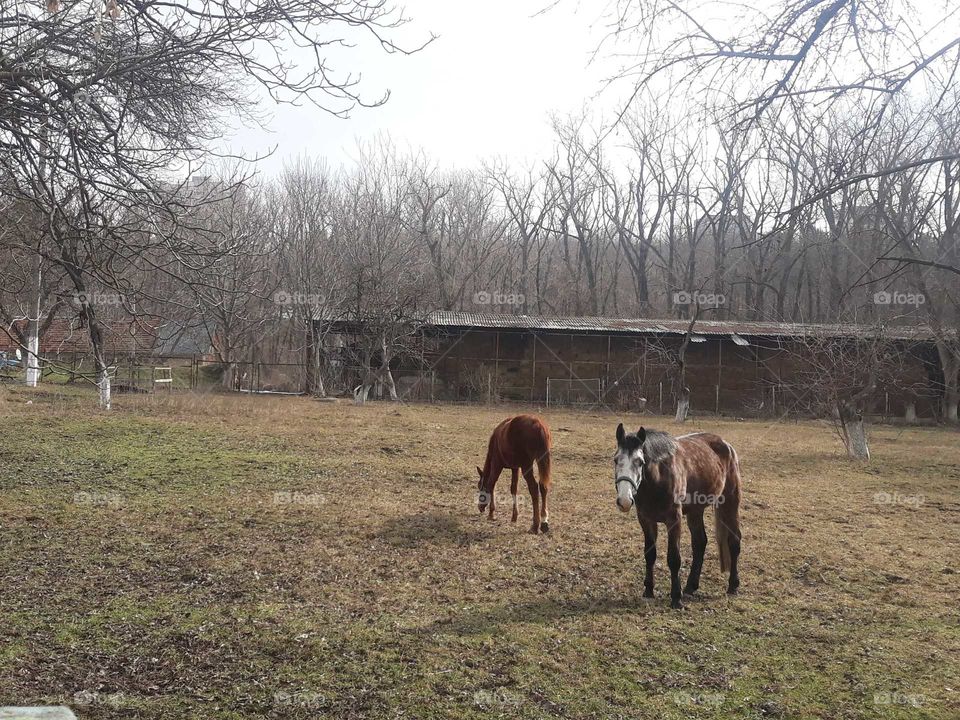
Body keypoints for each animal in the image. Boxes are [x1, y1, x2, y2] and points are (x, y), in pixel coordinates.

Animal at [613, 423, 742, 609]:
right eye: (616, 460)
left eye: (640, 462)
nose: (624, 500)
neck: (658, 478)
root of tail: (726, 445)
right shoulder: (646, 520)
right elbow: (650, 554)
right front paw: (649, 590)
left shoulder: (674, 520)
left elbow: (674, 558)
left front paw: (676, 598)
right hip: (696, 511)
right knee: (700, 543)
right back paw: (690, 586)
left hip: (730, 502)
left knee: (734, 540)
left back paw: (733, 585)